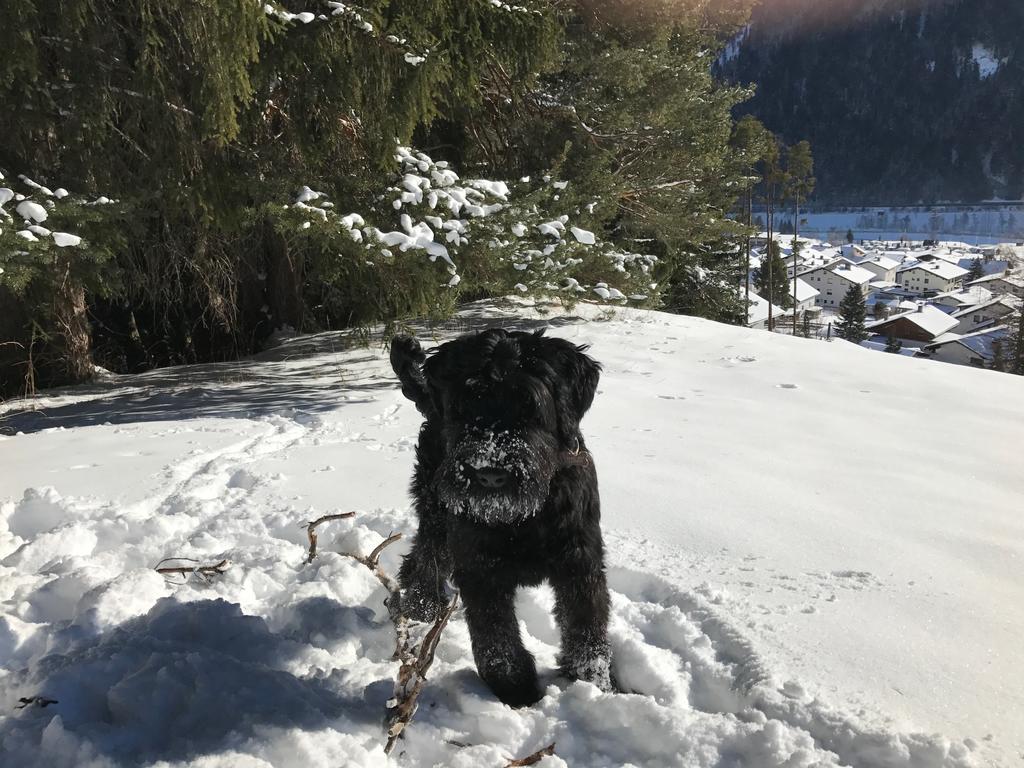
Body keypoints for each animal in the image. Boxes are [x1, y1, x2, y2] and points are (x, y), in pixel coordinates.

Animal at [387, 327, 610, 708]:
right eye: (467, 403)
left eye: (530, 406)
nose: (489, 474)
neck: (523, 518)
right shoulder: (480, 566)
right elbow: (496, 639)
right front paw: (517, 692)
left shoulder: (580, 561)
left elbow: (586, 629)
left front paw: (593, 684)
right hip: (436, 510)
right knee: (425, 557)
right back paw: (422, 607)